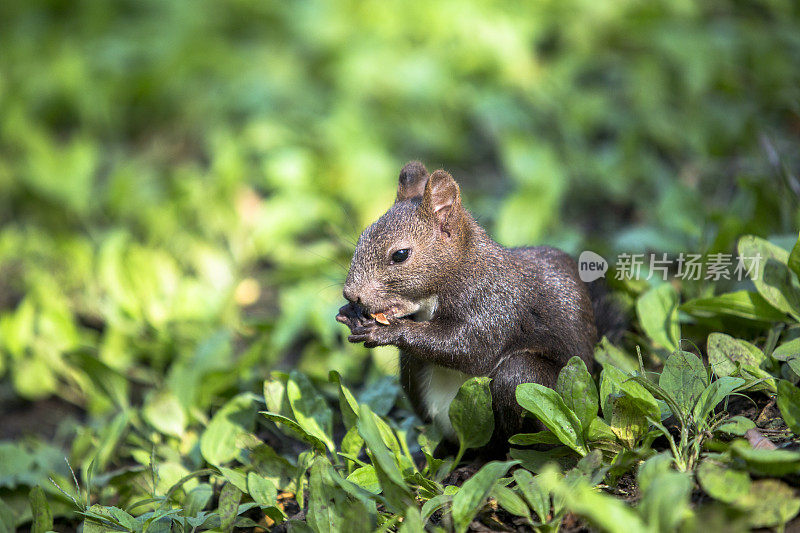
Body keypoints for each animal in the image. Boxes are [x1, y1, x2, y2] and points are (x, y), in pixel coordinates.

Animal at [334, 160, 620, 456]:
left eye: (400, 255)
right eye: (361, 237)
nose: (351, 293)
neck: (460, 268)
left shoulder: (496, 303)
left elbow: (472, 349)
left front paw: (388, 332)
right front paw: (353, 313)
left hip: (526, 384)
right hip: (411, 370)